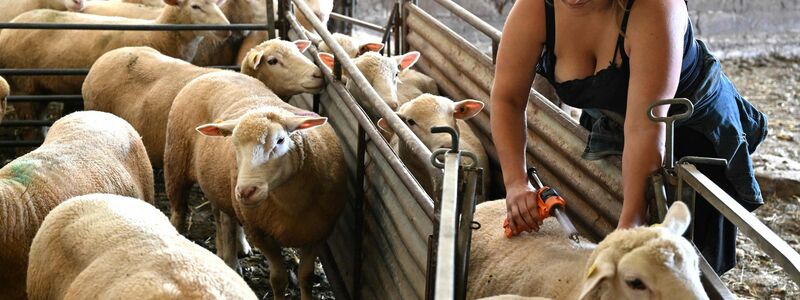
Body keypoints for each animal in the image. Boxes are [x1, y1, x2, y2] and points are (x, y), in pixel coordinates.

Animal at [166, 68, 344, 300]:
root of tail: (218, 71)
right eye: (233, 144)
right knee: (179, 212)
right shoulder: (260, 234)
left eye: (280, 140)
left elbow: (306, 277)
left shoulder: (319, 233)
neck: (291, 204)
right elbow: (278, 279)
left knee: (224, 218)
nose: (246, 191)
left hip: (219, 185)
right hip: (176, 165)